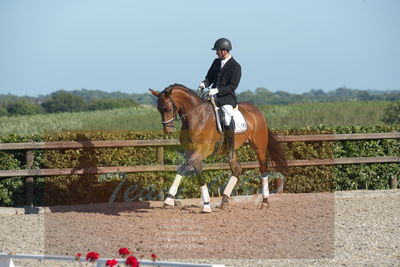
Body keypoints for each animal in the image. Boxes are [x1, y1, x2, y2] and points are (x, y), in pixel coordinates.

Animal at [148, 84, 286, 214]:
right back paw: (224, 200)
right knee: (237, 169)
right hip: (231, 150)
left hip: (259, 146)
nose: (168, 131)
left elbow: (182, 169)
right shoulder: (191, 153)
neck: (196, 117)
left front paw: (168, 200)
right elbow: (198, 175)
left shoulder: (202, 151)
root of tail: (257, 111)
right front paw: (206, 205)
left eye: (168, 108)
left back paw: (265, 202)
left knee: (263, 168)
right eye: (158, 109)